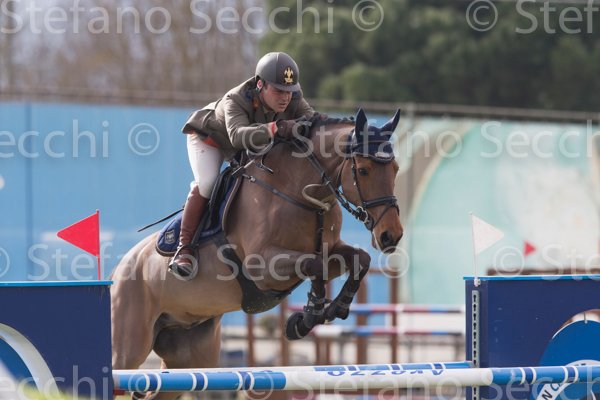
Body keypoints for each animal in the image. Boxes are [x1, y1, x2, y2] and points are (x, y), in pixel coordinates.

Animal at [111, 109, 404, 399]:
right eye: (363, 171)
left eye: (396, 169)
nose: (391, 235)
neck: (301, 194)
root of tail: (120, 268)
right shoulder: (262, 266)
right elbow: (314, 265)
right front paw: (307, 318)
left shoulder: (330, 251)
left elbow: (358, 260)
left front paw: (334, 308)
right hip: (128, 347)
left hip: (190, 355)